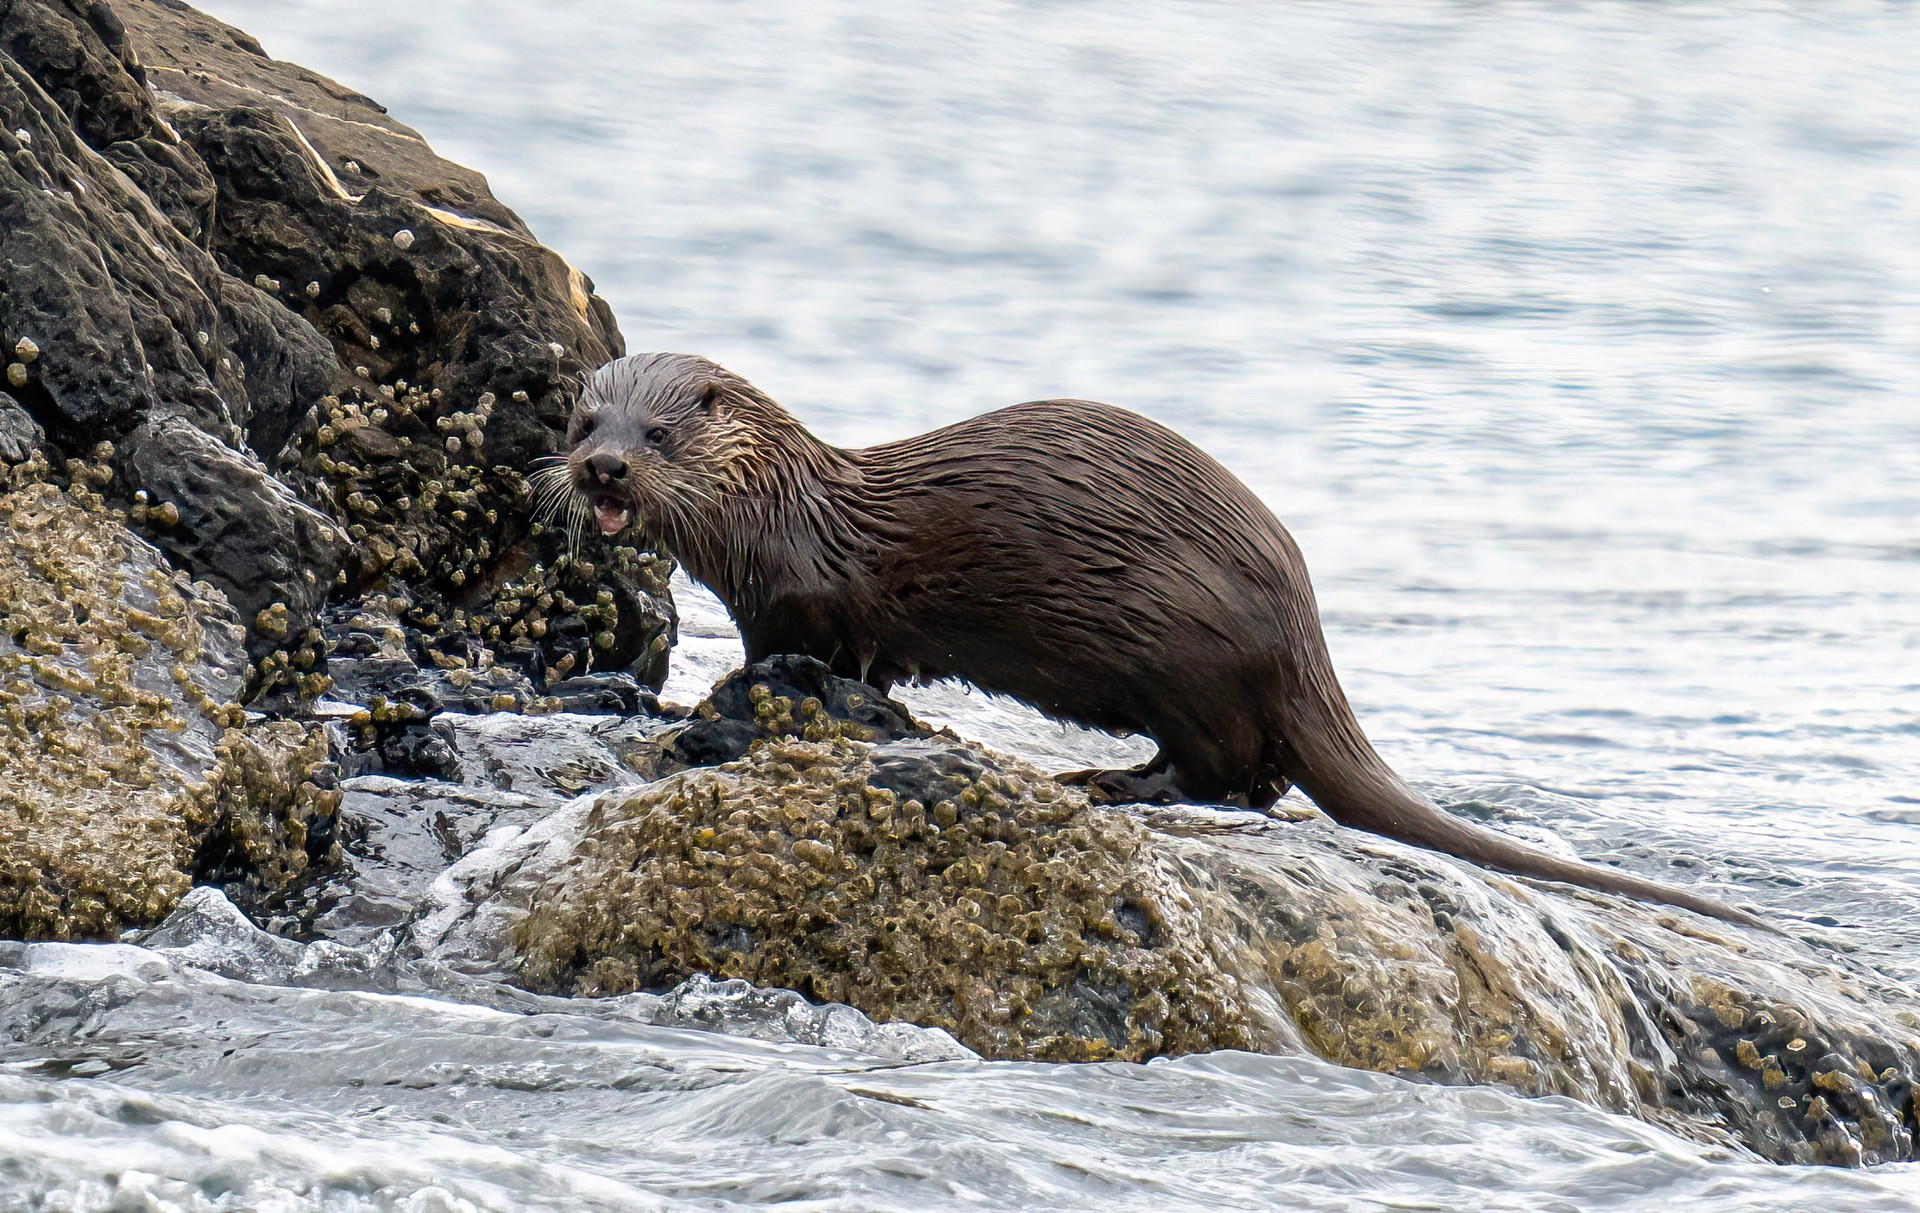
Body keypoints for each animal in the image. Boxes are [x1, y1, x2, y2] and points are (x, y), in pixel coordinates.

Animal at [540, 352, 1765, 930]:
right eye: (583, 420)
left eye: (657, 433)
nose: (602, 469)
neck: (776, 513)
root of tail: (1300, 632)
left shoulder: (810, 599)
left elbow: (817, 661)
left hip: (1180, 649)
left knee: (1233, 772)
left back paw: (1115, 782)